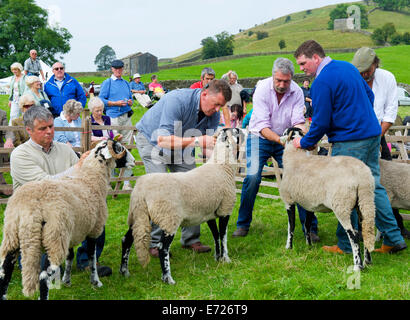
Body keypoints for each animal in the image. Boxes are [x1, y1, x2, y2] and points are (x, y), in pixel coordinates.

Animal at [0, 140, 136, 300]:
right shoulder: (93, 229)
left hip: (12, 235)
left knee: (5, 270)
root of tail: (30, 206)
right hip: (54, 236)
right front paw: (96, 282)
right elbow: (92, 256)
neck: (90, 178)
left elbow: (70, 256)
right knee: (44, 276)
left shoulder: (71, 231)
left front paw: (66, 281)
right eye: (119, 148)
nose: (134, 161)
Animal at [119, 126, 247, 284]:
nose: (245, 130)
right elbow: (223, 237)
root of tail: (141, 189)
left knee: (126, 240)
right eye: (237, 130)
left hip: (138, 214)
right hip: (169, 217)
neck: (222, 166)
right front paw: (226, 259)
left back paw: (124, 272)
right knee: (162, 248)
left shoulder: (209, 212)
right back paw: (168, 278)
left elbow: (216, 236)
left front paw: (217, 258)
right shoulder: (225, 208)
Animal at [278, 126, 374, 272]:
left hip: (342, 205)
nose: (279, 138)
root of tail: (362, 176)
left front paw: (288, 247)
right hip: (364, 201)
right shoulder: (309, 204)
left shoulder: (288, 200)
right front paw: (309, 246)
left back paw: (358, 265)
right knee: (366, 230)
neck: (295, 157)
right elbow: (307, 225)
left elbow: (291, 226)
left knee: (355, 235)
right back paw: (367, 261)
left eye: (284, 132)